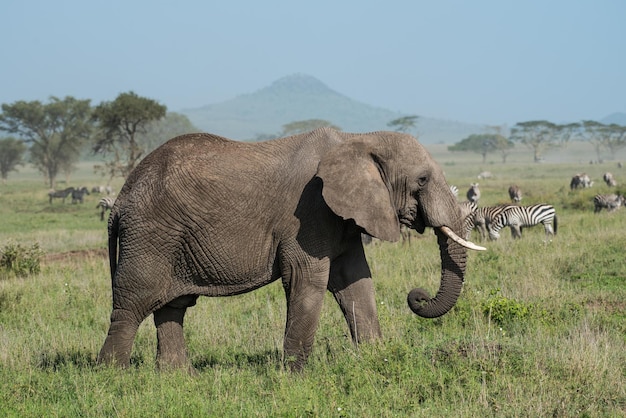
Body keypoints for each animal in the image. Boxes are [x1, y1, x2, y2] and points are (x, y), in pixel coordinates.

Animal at [97, 126, 486, 370]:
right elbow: (306, 279)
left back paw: (178, 376)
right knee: (133, 303)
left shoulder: (341, 216)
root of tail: (120, 200)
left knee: (172, 306)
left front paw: (378, 358)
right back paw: (112, 376)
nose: (417, 296)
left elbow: (356, 282)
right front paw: (296, 374)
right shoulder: (309, 212)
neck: (358, 139)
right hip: (150, 234)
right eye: (422, 180)